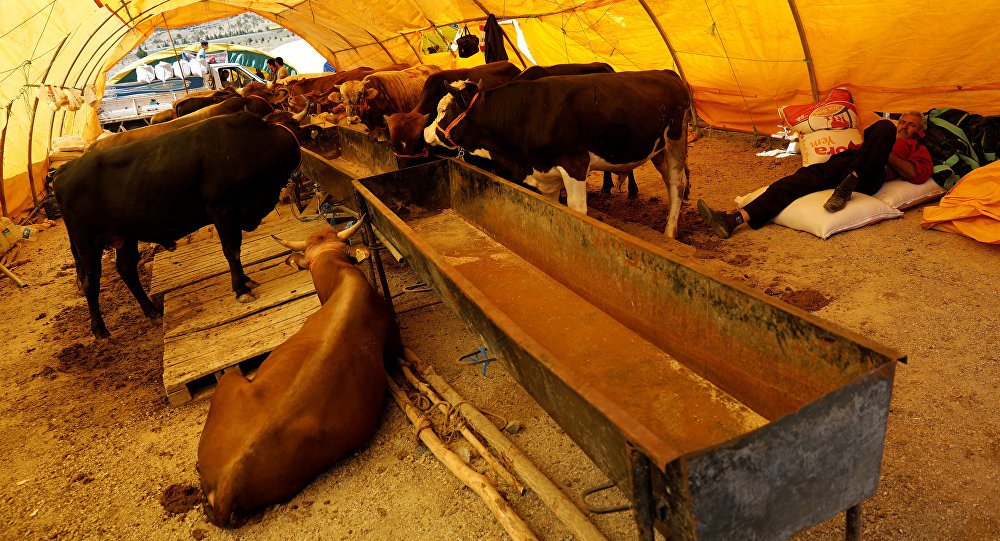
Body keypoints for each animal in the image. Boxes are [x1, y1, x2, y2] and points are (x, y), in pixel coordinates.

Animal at [55, 110, 314, 338]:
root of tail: (65, 169)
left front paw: (246, 280)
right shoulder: (223, 209)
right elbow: (232, 250)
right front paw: (241, 288)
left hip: (125, 237)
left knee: (127, 270)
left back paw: (152, 310)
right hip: (88, 244)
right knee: (90, 282)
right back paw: (100, 331)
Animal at [424, 71, 690, 237]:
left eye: (442, 110)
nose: (426, 133)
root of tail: (667, 72)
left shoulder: (575, 163)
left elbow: (576, 210)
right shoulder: (546, 174)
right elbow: (554, 208)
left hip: (675, 140)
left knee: (676, 184)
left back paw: (669, 232)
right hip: (658, 149)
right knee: (672, 181)